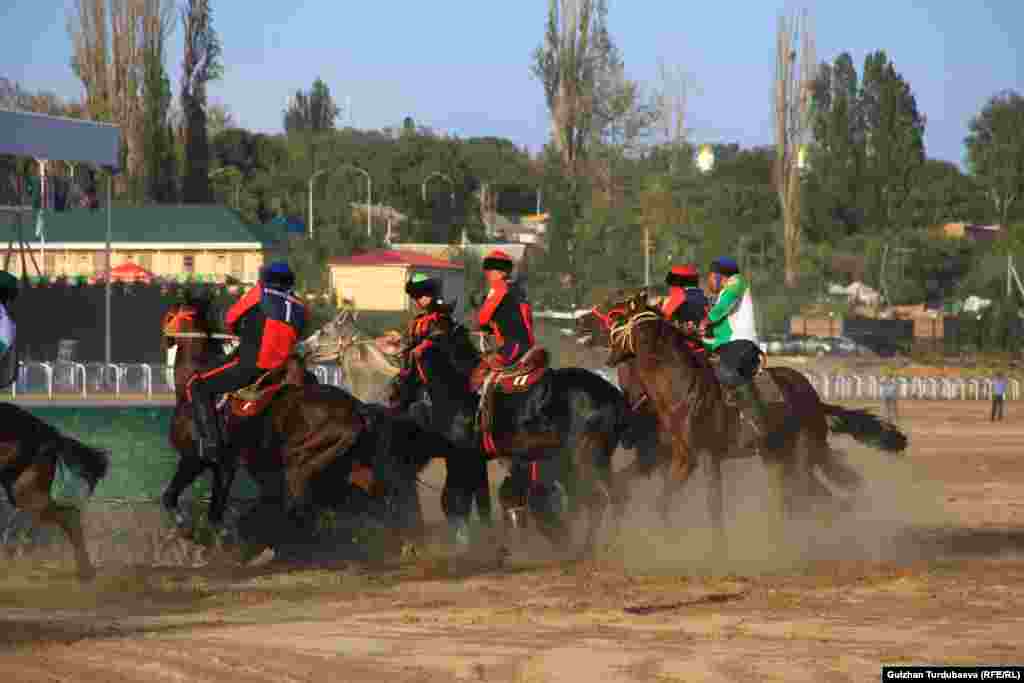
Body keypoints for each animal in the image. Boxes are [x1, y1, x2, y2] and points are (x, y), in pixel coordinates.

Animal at [401, 309, 630, 561]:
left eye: (409, 349)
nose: (397, 388)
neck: (461, 388)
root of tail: (613, 396)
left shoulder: (466, 459)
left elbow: (460, 499)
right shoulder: (489, 460)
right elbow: (492, 498)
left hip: (584, 459)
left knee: (594, 500)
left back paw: (585, 548)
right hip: (597, 460)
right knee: (610, 498)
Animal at [598, 292, 909, 557]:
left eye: (620, 322)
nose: (609, 357)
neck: (681, 388)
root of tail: (813, 398)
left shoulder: (699, 456)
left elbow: (695, 503)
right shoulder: (680, 455)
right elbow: (670, 500)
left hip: (802, 453)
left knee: (812, 495)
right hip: (776, 456)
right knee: (806, 497)